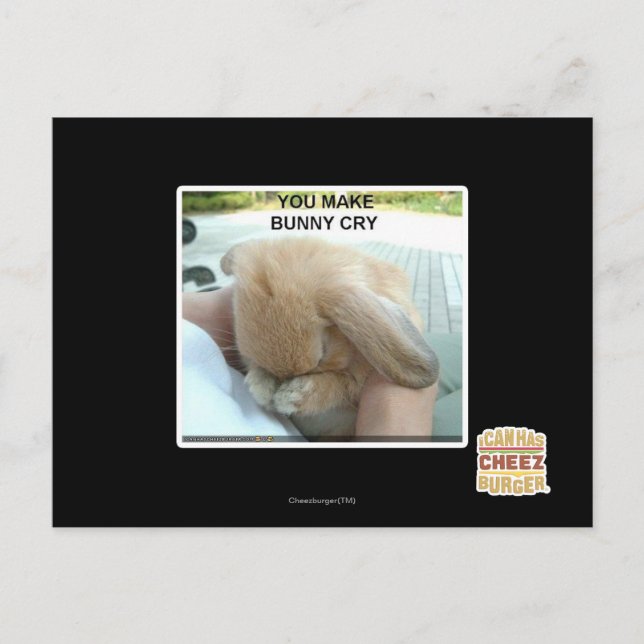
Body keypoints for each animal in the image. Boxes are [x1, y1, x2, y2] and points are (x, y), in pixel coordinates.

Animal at [220, 237, 439, 439]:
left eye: (322, 355)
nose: (282, 384)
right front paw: (260, 387)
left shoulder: (354, 387)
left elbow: (339, 386)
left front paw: (290, 396)